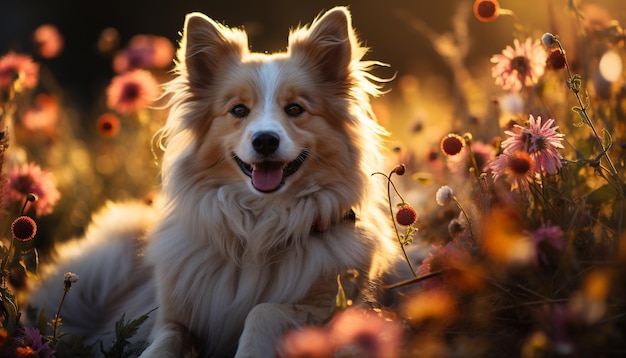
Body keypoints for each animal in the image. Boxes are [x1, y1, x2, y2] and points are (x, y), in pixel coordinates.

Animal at [25, 7, 400, 356]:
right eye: (238, 110)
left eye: (295, 109)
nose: (265, 140)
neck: (258, 226)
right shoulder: (171, 318)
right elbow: (163, 341)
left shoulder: (338, 309)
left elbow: (263, 310)